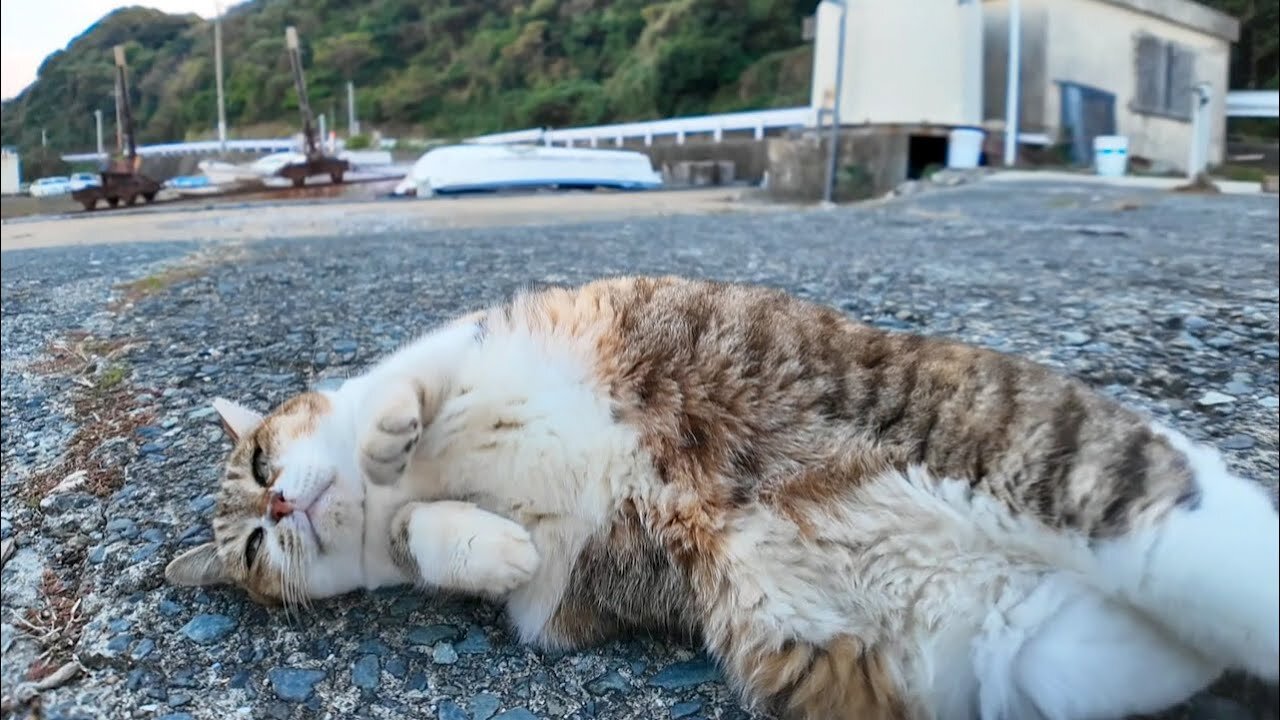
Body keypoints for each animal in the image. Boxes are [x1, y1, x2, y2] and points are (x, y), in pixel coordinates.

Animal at [170, 274, 1280, 717]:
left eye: (261, 461)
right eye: (253, 552)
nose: (279, 511)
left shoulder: (471, 345)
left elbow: (409, 390)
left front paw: (392, 439)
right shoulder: (550, 602)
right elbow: (442, 543)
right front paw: (482, 543)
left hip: (1039, 456)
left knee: (1195, 539)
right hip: (1036, 654)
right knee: (1150, 646)